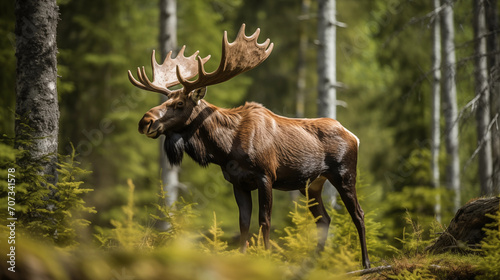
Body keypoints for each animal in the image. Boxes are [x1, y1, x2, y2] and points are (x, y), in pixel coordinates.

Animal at [128, 23, 372, 266]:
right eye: (166, 100)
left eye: (179, 103)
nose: (145, 121)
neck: (224, 150)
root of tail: (354, 136)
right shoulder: (238, 182)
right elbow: (243, 223)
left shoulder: (266, 175)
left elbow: (264, 220)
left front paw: (267, 258)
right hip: (312, 184)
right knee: (324, 219)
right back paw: (312, 264)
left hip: (344, 174)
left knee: (358, 213)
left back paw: (365, 263)